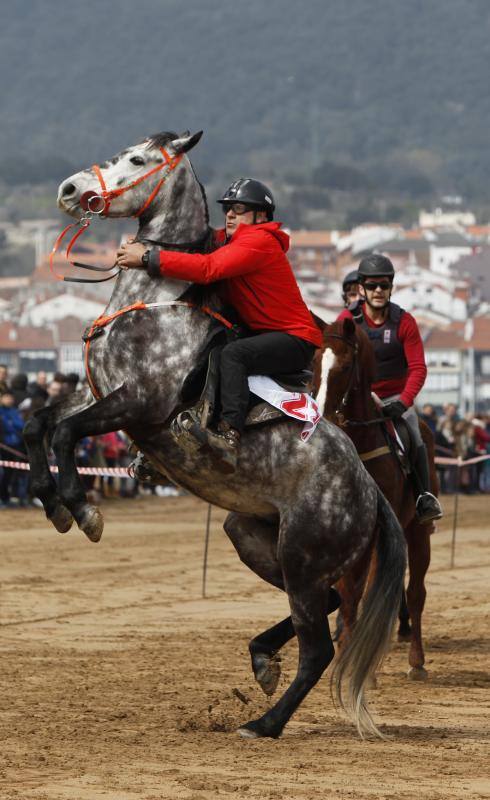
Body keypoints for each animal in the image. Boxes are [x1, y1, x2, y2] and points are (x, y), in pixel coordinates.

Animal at [23, 130, 406, 736]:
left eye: (137, 159)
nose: (69, 189)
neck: (156, 304)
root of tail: (370, 494)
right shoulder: (96, 392)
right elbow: (40, 424)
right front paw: (51, 500)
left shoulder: (139, 403)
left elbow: (64, 434)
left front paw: (81, 509)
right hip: (254, 539)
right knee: (323, 608)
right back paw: (261, 660)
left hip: (303, 555)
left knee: (319, 647)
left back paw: (266, 722)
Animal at [324, 316, 434, 680]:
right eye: (314, 363)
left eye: (345, 366)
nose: (322, 416)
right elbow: (348, 594)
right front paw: (345, 655)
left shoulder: (381, 533)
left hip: (417, 531)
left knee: (415, 592)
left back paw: (416, 661)